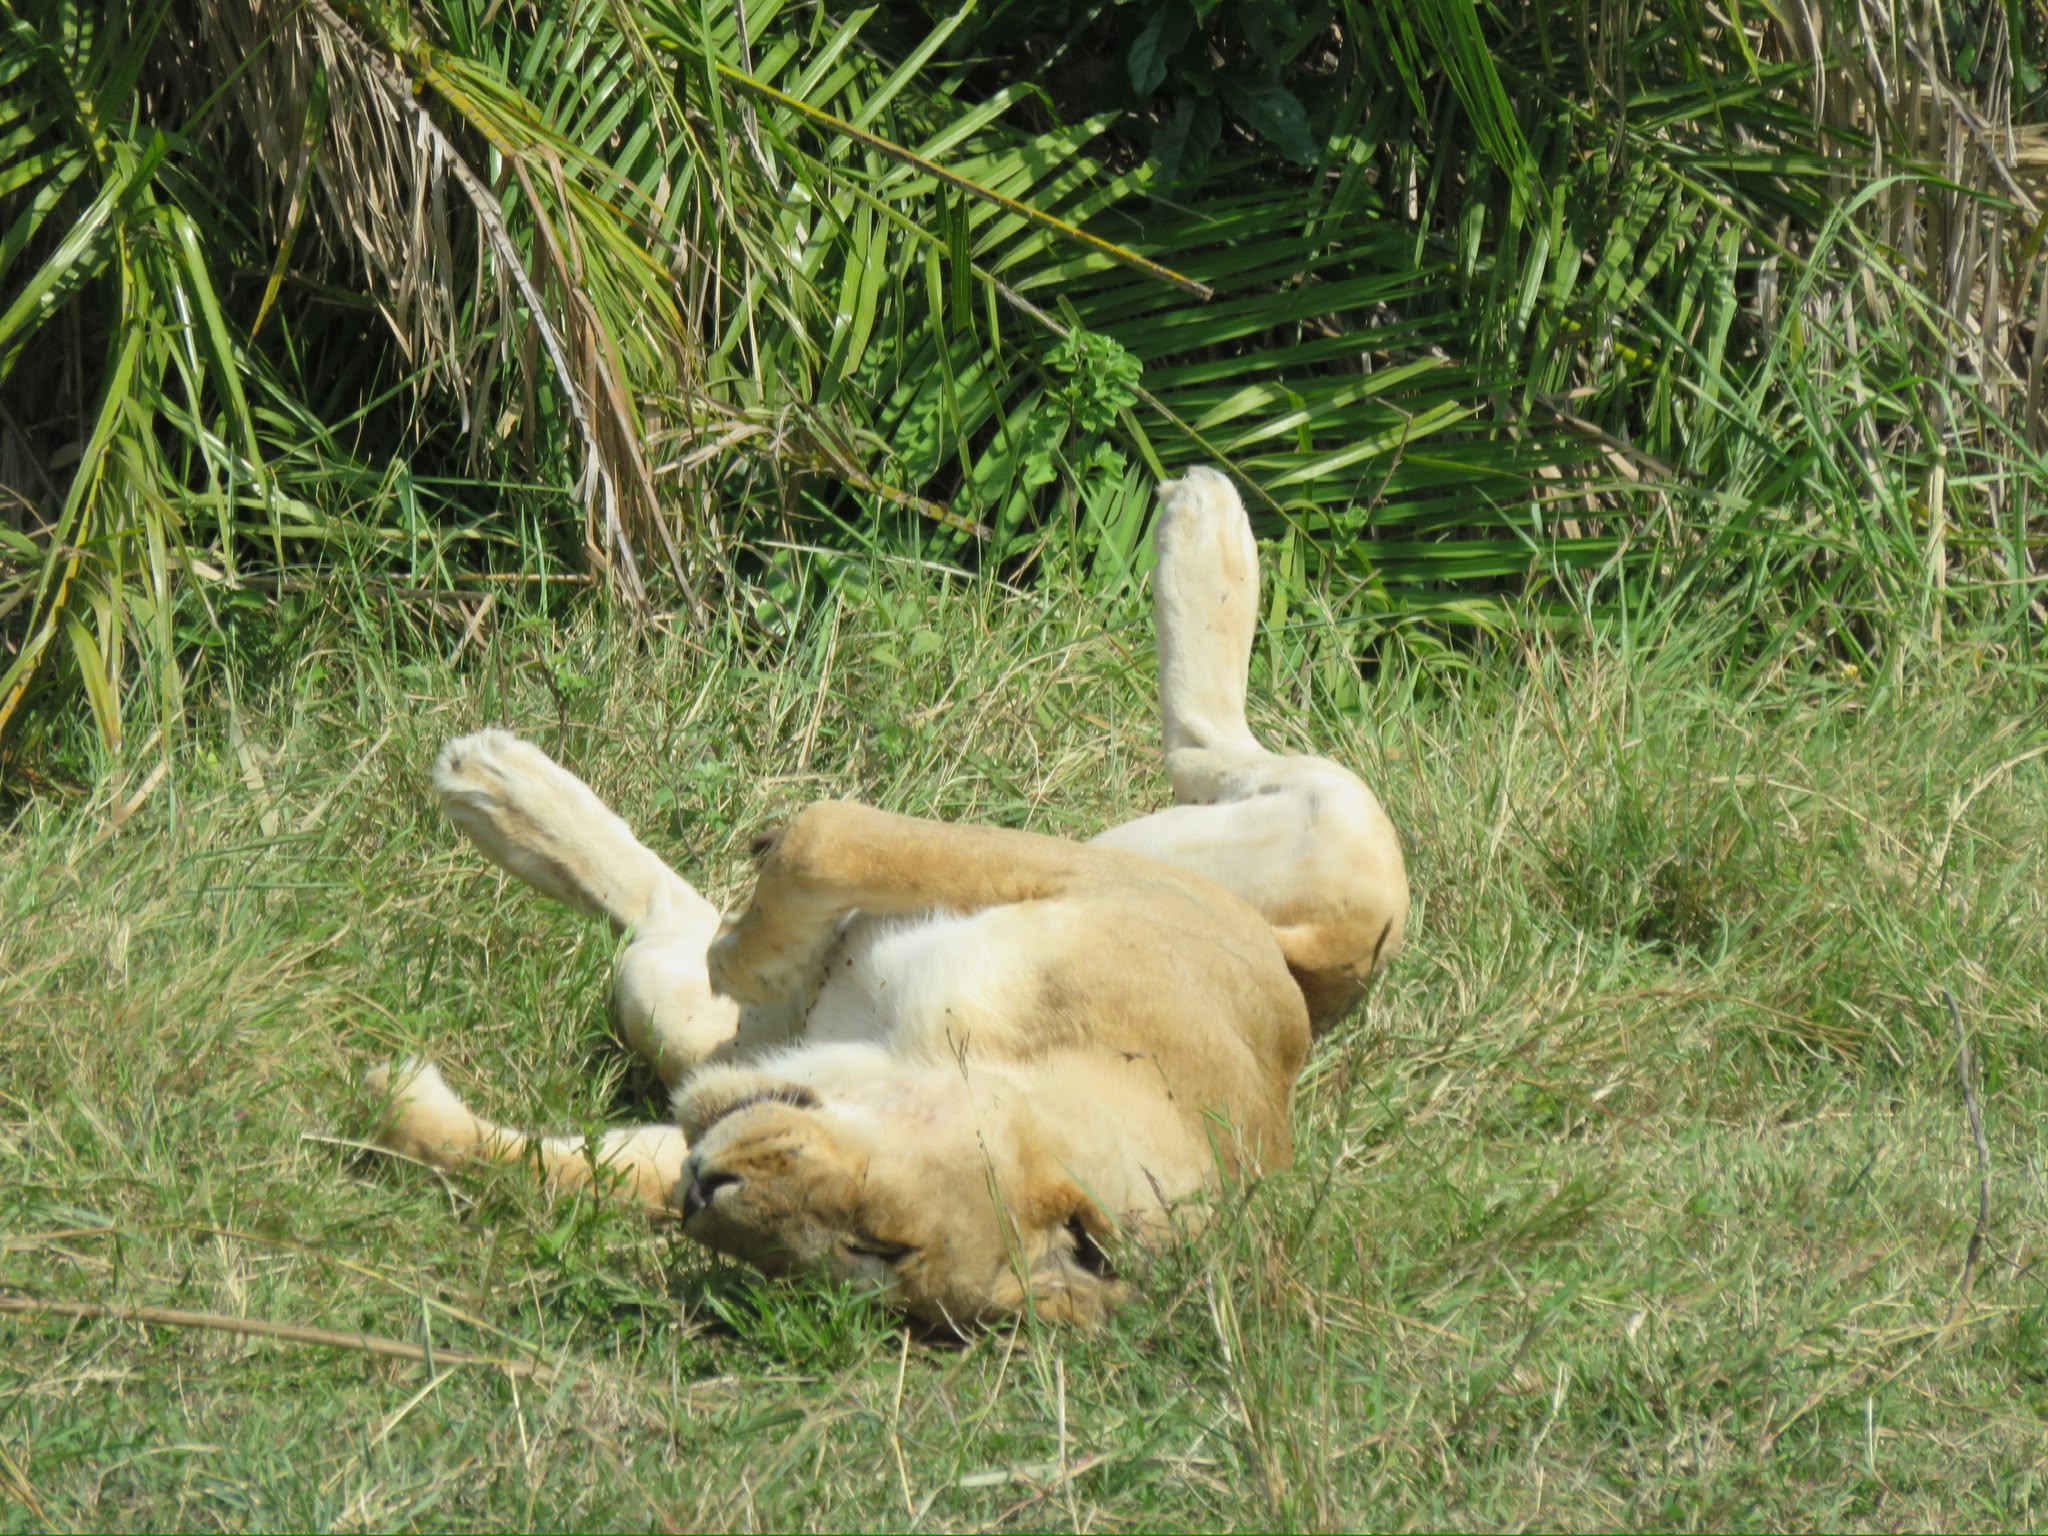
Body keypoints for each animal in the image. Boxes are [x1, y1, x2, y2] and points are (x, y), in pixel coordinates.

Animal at [367, 467, 1408, 1327]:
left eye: (860, 1255)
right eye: (885, 1237)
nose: (706, 1194)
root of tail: (1309, 1000)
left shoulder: (716, 1114)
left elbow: (541, 1162)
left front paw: (402, 1101)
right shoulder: (1083, 882)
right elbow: (825, 835)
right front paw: (752, 948)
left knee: (658, 949)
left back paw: (499, 795)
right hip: (1337, 850)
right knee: (1210, 744)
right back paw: (1206, 516)